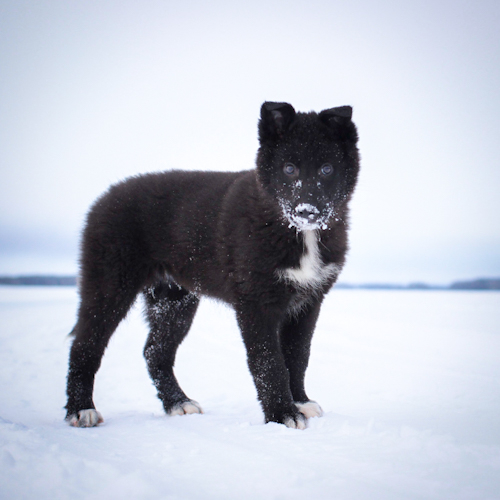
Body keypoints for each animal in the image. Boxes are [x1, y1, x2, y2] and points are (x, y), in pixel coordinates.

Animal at [65, 102, 360, 430]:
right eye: (288, 168)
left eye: (326, 169)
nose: (306, 211)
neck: (297, 233)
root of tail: (103, 200)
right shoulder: (255, 301)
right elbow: (268, 361)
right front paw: (281, 414)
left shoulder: (309, 300)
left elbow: (297, 355)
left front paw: (300, 402)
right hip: (109, 283)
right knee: (85, 345)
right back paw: (81, 409)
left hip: (173, 300)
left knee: (155, 351)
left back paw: (177, 403)